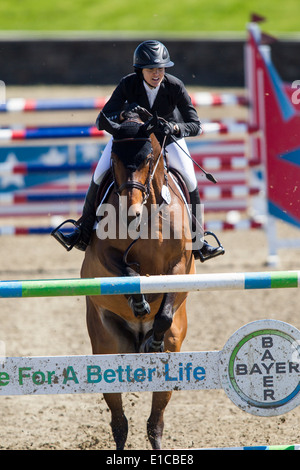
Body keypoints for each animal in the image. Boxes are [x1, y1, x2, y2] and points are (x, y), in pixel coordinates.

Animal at [81, 109, 196, 448]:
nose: (129, 211)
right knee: (119, 420)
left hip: (172, 353)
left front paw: (154, 331)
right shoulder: (104, 255)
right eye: (115, 159)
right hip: (107, 344)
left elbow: (165, 309)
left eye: (148, 158)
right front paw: (139, 302)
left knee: (155, 421)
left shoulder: (179, 264)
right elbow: (127, 271)